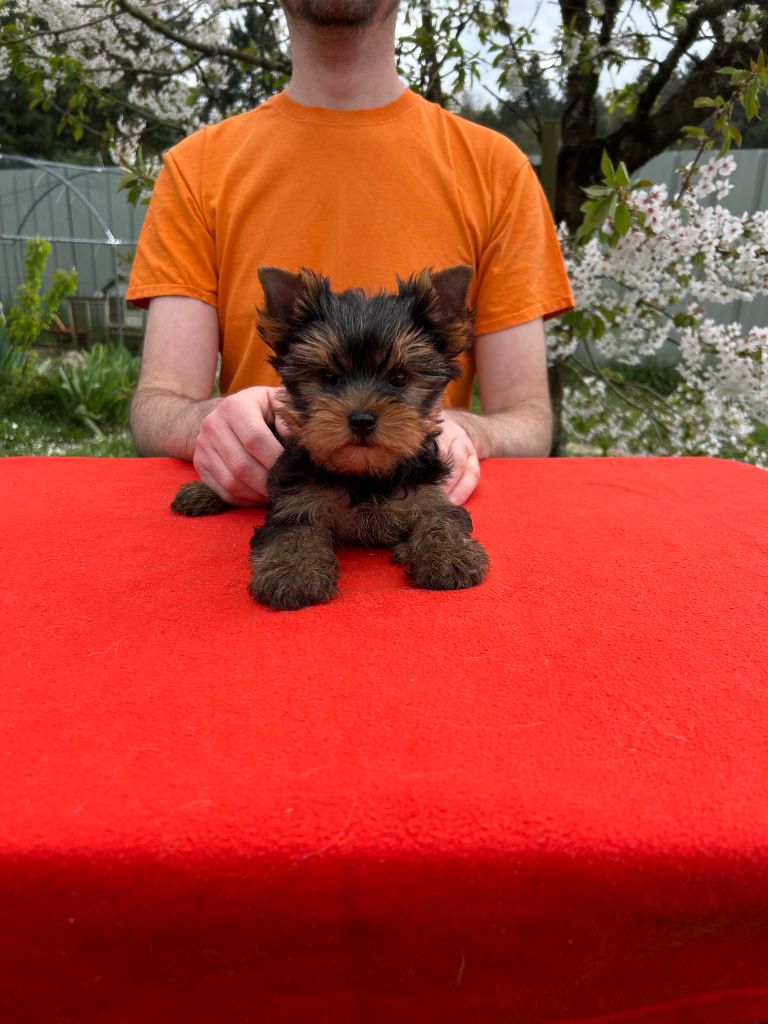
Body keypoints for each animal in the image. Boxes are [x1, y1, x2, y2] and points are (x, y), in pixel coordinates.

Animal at [171, 265, 489, 610]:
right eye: (328, 377)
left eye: (400, 378)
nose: (362, 420)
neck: (364, 474)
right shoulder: (297, 498)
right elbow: (294, 531)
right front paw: (292, 572)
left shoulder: (428, 494)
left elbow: (441, 519)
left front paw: (450, 555)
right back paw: (200, 492)